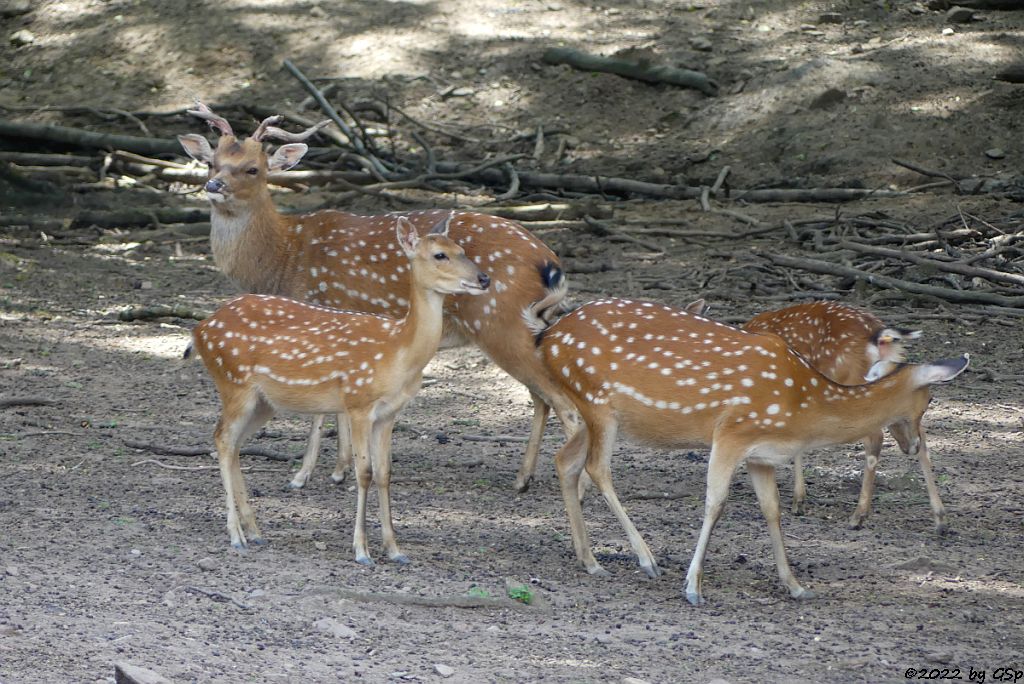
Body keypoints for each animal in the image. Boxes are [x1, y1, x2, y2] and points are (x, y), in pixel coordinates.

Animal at [177, 101, 577, 493]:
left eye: (253, 168)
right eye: (212, 160)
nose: (214, 184)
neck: (283, 260)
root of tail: (550, 263)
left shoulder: (324, 311)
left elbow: (322, 410)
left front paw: (307, 474)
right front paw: (338, 469)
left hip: (500, 323)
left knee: (562, 403)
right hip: (527, 328)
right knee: (541, 399)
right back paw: (523, 478)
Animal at [194, 216, 491, 565]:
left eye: (462, 249)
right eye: (439, 255)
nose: (484, 278)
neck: (398, 352)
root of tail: (199, 329)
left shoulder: (389, 413)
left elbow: (384, 473)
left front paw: (394, 550)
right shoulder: (358, 401)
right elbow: (363, 472)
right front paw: (361, 550)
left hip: (263, 401)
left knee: (234, 444)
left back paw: (254, 531)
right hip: (233, 382)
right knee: (223, 439)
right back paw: (236, 535)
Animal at [741, 301, 946, 532]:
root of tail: (878, 334)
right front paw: (799, 500)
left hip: (851, 379)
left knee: (876, 436)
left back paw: (858, 516)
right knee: (919, 433)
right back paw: (940, 519)